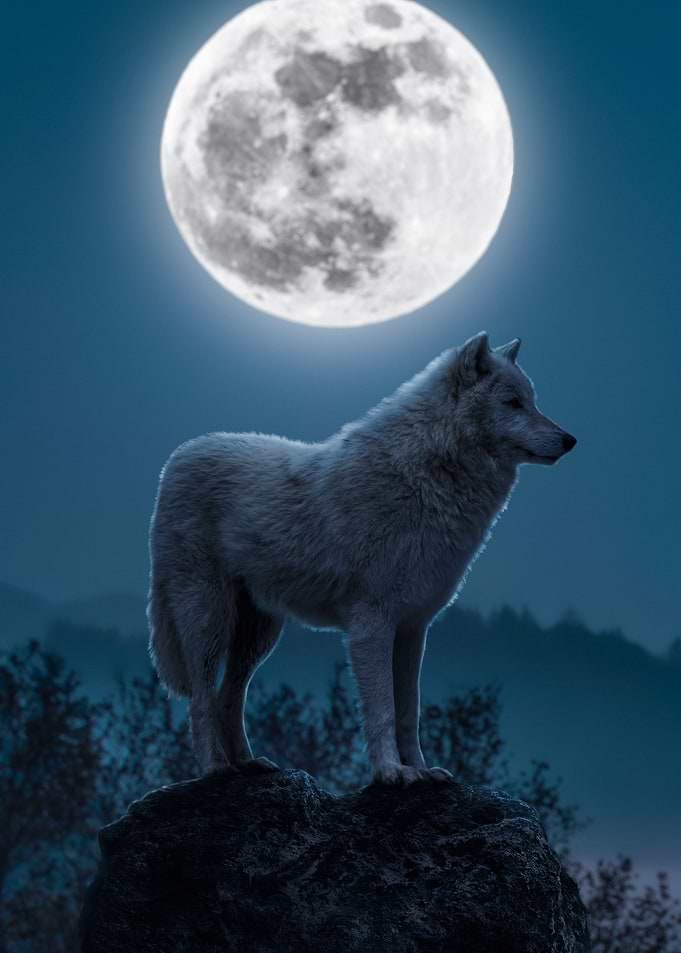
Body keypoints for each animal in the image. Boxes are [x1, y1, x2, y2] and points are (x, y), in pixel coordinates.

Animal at [147, 332, 576, 785]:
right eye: (513, 403)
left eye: (532, 401)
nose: (569, 439)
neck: (429, 476)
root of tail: (176, 458)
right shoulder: (372, 623)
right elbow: (382, 708)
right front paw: (390, 772)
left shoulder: (413, 628)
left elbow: (409, 711)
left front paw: (421, 769)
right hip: (209, 621)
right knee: (201, 698)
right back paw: (214, 769)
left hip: (259, 635)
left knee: (230, 696)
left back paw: (247, 764)